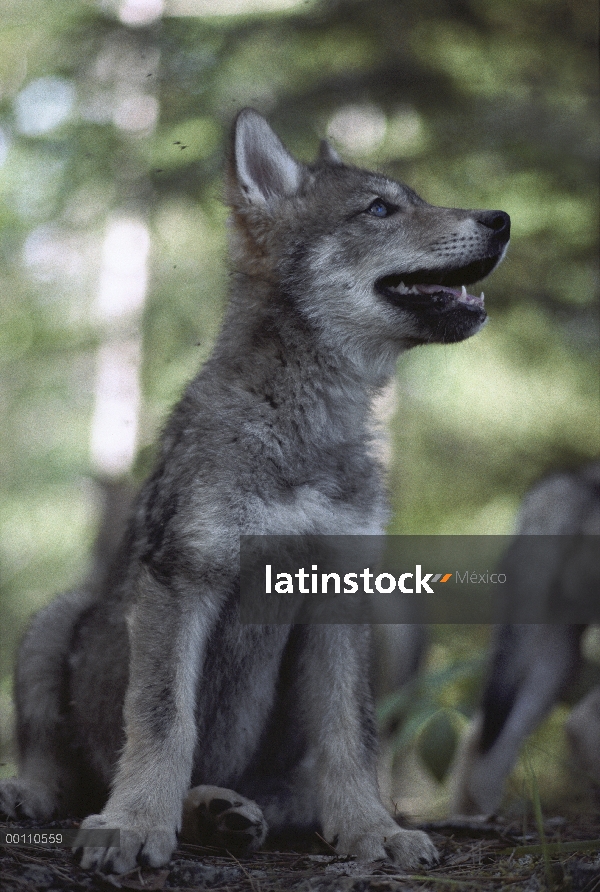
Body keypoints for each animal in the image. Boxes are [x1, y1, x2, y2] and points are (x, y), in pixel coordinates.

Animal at [0, 110, 508, 872]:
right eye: (380, 209)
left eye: (412, 200)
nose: (502, 219)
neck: (303, 421)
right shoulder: (183, 579)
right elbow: (164, 721)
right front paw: (133, 824)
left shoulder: (340, 594)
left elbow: (351, 737)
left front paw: (373, 831)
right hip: (59, 618)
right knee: (59, 763)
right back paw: (46, 794)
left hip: (389, 630)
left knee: (282, 789)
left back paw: (227, 811)